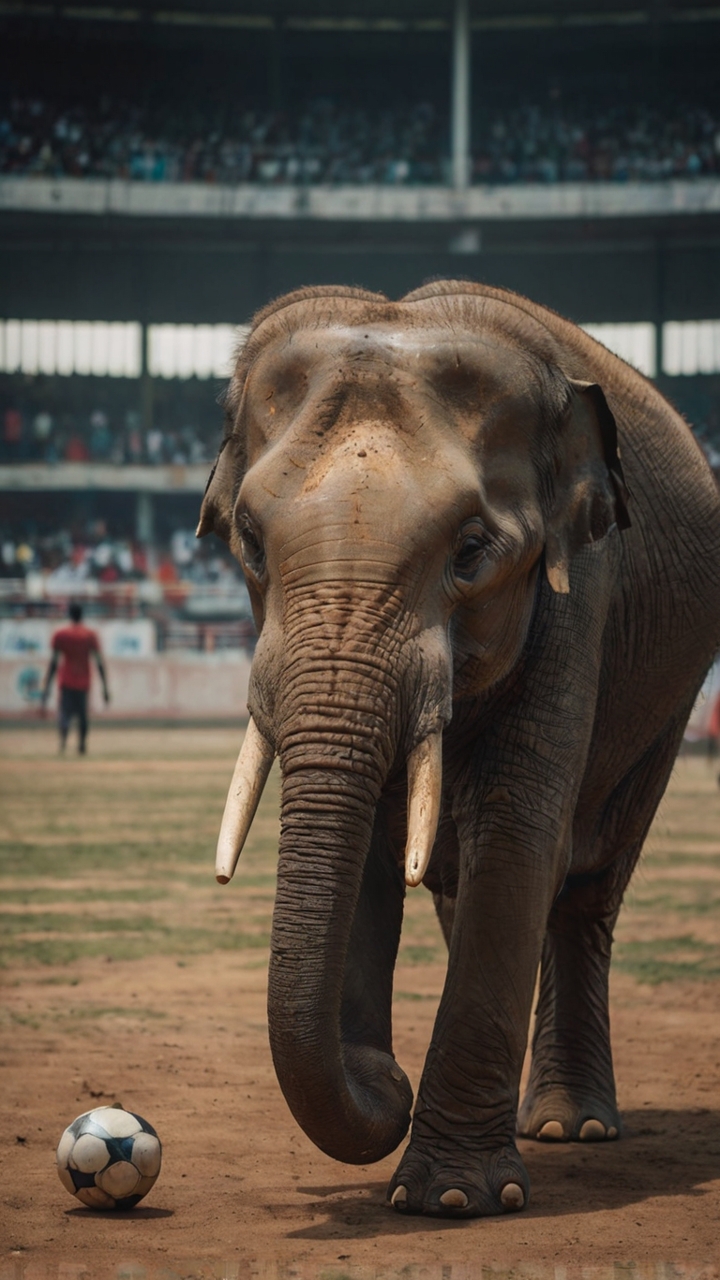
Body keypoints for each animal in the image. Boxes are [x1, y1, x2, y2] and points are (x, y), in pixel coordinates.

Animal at [197, 279, 720, 1219]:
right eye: (249, 541)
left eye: (473, 552)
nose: (385, 1076)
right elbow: (377, 848)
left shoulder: (580, 587)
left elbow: (514, 838)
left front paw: (449, 1199)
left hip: (672, 694)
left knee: (585, 882)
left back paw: (571, 1128)